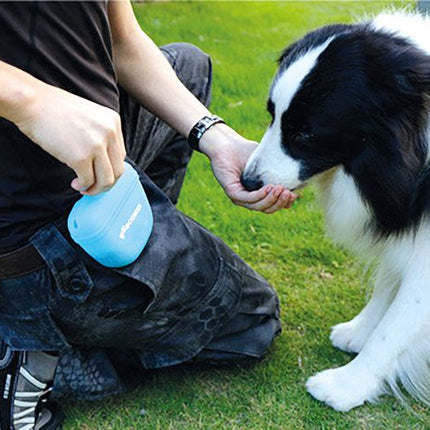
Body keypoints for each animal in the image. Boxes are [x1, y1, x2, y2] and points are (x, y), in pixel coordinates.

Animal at [244, 11, 430, 412]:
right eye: (271, 116)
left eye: (305, 134)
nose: (248, 180)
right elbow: (388, 281)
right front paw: (360, 331)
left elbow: (400, 322)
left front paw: (348, 384)